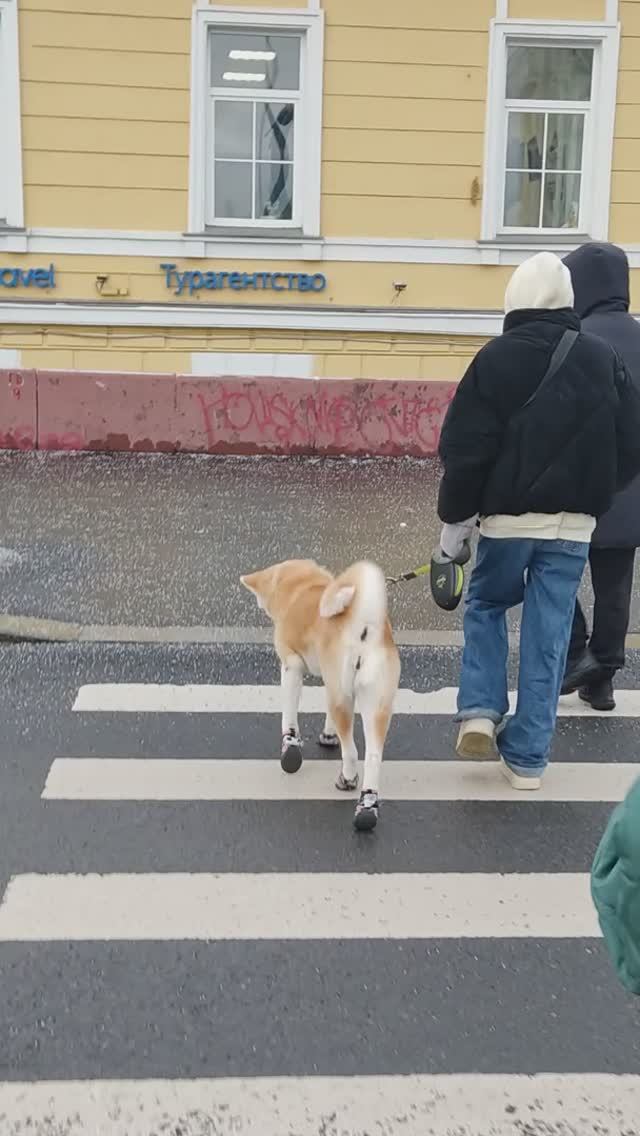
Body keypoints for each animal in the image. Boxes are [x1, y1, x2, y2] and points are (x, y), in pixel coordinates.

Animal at [240, 561, 400, 836]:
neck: (301, 587)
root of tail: (365, 626)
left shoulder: (291, 665)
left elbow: (289, 719)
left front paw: (290, 747)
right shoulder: (330, 682)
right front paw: (328, 736)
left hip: (344, 699)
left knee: (352, 751)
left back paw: (347, 780)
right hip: (375, 705)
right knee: (373, 757)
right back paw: (367, 809)